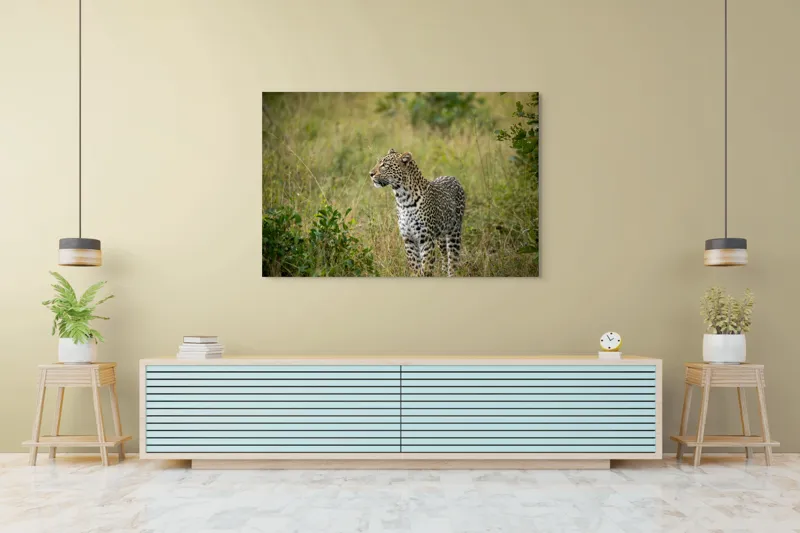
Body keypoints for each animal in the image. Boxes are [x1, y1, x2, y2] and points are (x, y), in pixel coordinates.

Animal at [369, 148, 466, 277]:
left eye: (384, 165)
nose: (370, 174)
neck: (402, 199)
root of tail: (453, 178)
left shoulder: (426, 240)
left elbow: (427, 268)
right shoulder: (409, 239)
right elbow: (415, 267)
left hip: (454, 231)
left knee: (453, 259)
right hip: (440, 236)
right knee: (444, 255)